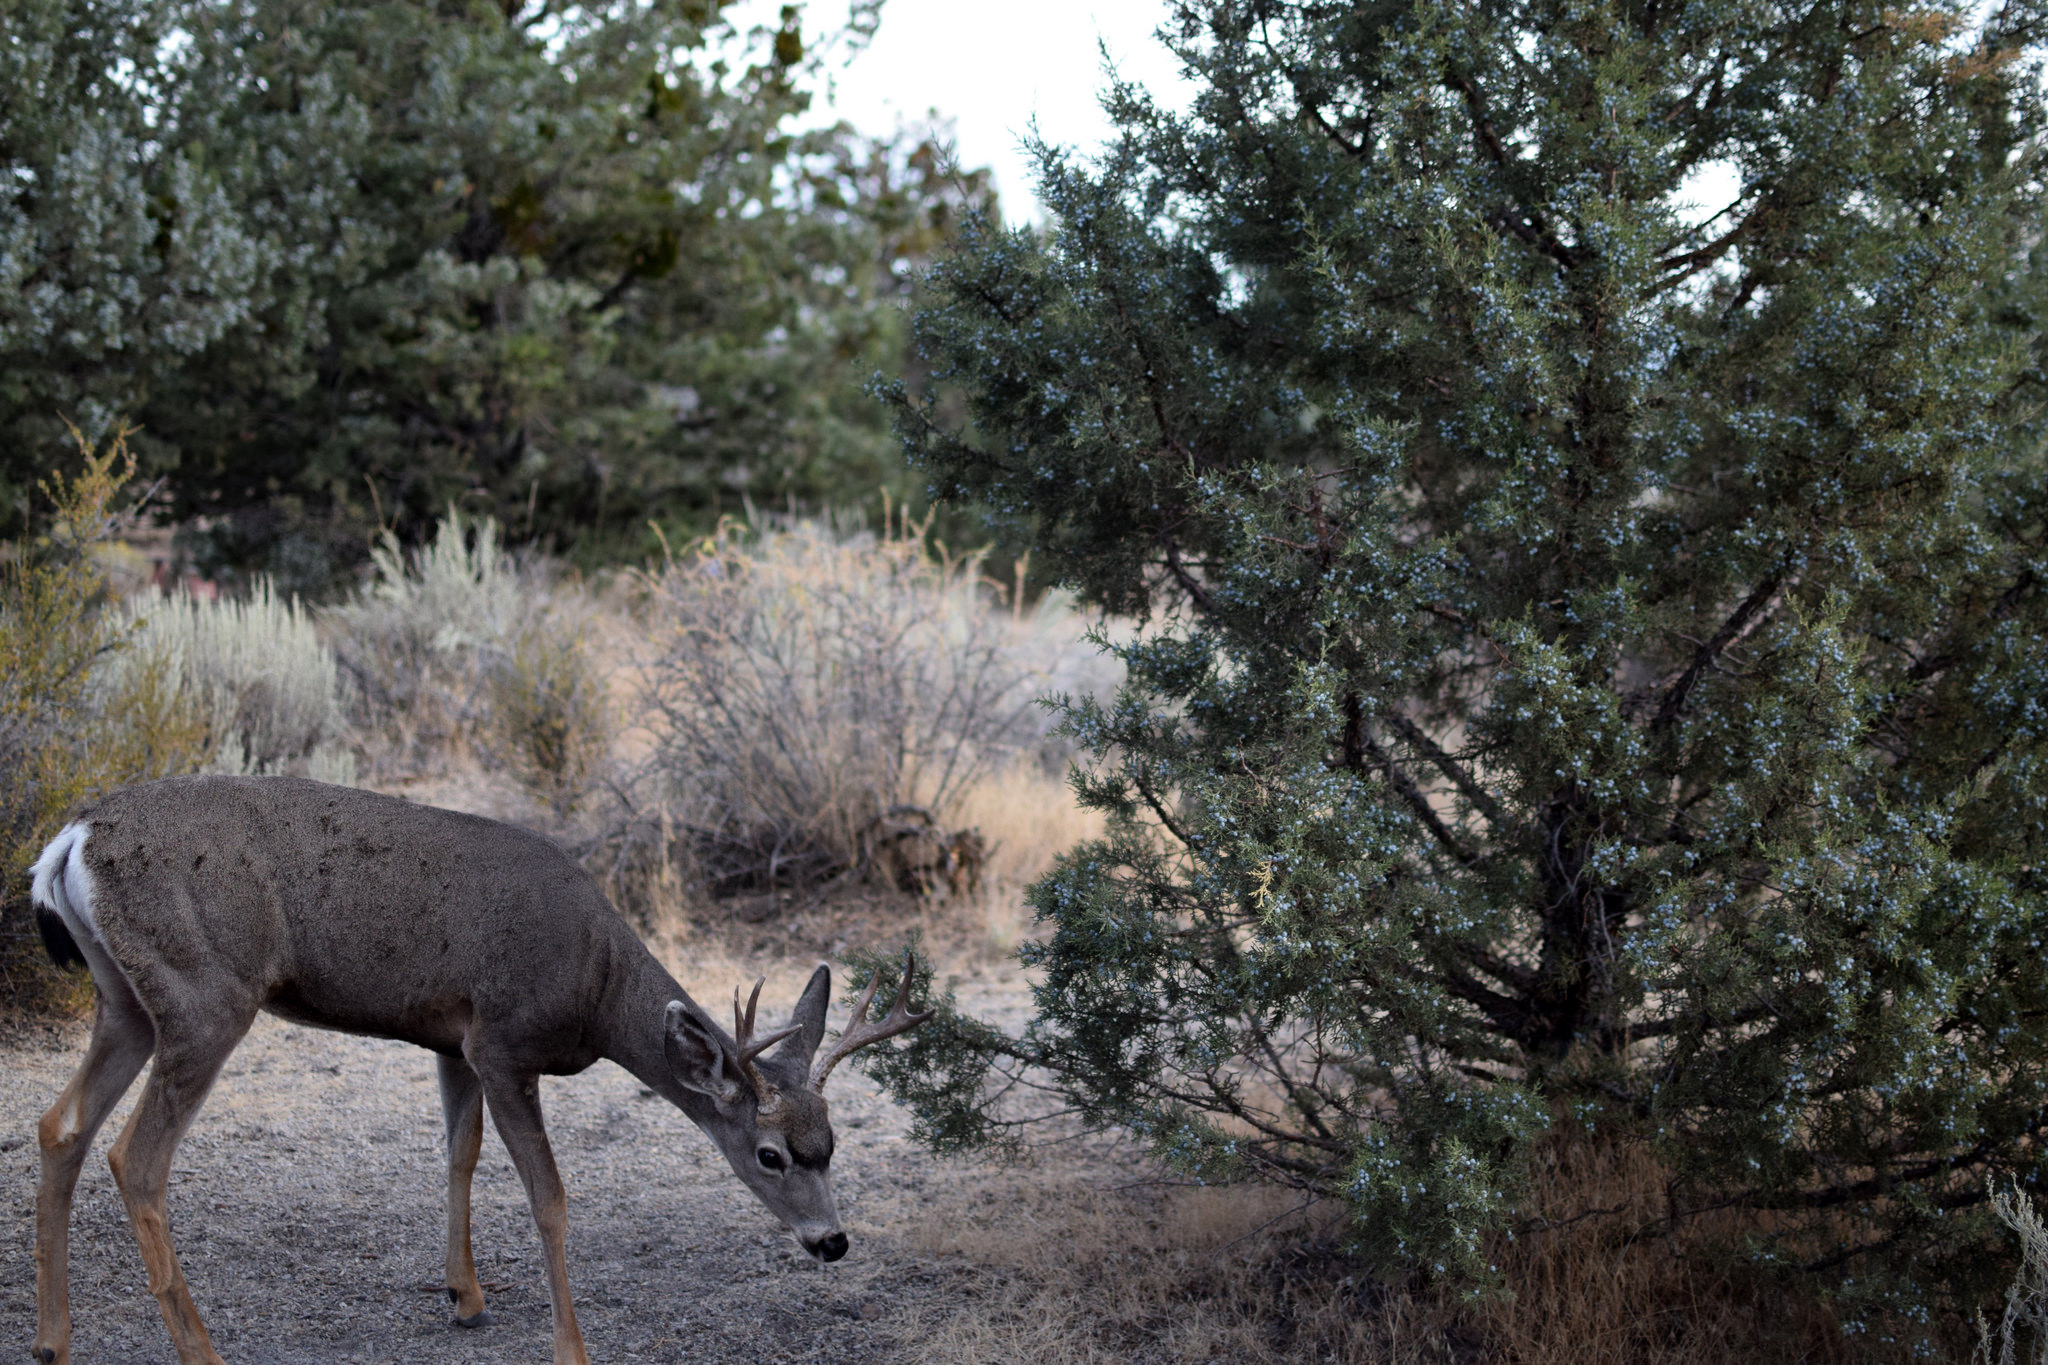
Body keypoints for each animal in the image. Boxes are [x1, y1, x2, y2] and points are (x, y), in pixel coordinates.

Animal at [24, 774, 933, 1365]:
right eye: (769, 1154)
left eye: (833, 1143)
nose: (832, 1240)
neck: (596, 985)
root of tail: (74, 838)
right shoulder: (502, 1041)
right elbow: (549, 1195)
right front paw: (571, 1347)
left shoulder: (450, 1038)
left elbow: (459, 1152)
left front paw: (465, 1297)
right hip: (204, 994)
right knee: (135, 1156)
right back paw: (200, 1348)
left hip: (125, 999)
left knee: (60, 1123)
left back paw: (51, 1338)